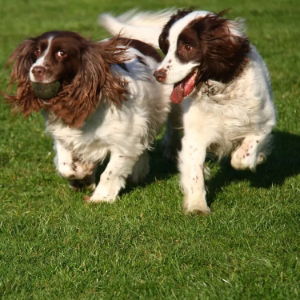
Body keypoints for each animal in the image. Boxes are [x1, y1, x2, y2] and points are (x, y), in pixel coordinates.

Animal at [7, 30, 171, 203]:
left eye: (61, 53)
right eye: (36, 52)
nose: (36, 70)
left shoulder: (125, 140)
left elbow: (111, 171)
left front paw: (101, 197)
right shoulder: (62, 134)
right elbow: (65, 166)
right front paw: (82, 176)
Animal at [101, 8, 276, 212]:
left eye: (188, 46)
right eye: (167, 46)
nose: (158, 74)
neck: (220, 91)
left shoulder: (265, 122)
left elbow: (244, 154)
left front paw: (256, 157)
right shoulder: (196, 137)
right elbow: (194, 173)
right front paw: (197, 206)